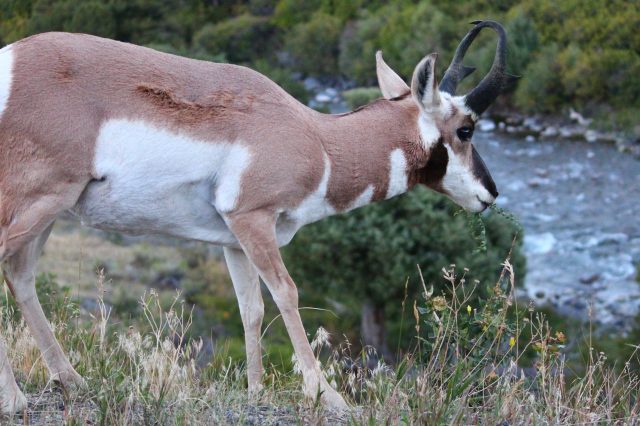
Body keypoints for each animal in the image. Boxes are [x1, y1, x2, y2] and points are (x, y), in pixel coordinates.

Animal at [0, 20, 516, 412]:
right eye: (465, 129)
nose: (490, 194)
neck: (315, 137)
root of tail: (12, 60)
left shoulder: (233, 240)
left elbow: (251, 309)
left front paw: (255, 391)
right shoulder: (253, 220)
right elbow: (287, 294)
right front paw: (328, 396)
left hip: (49, 213)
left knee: (20, 275)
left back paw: (70, 381)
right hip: (39, 201)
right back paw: (17, 398)